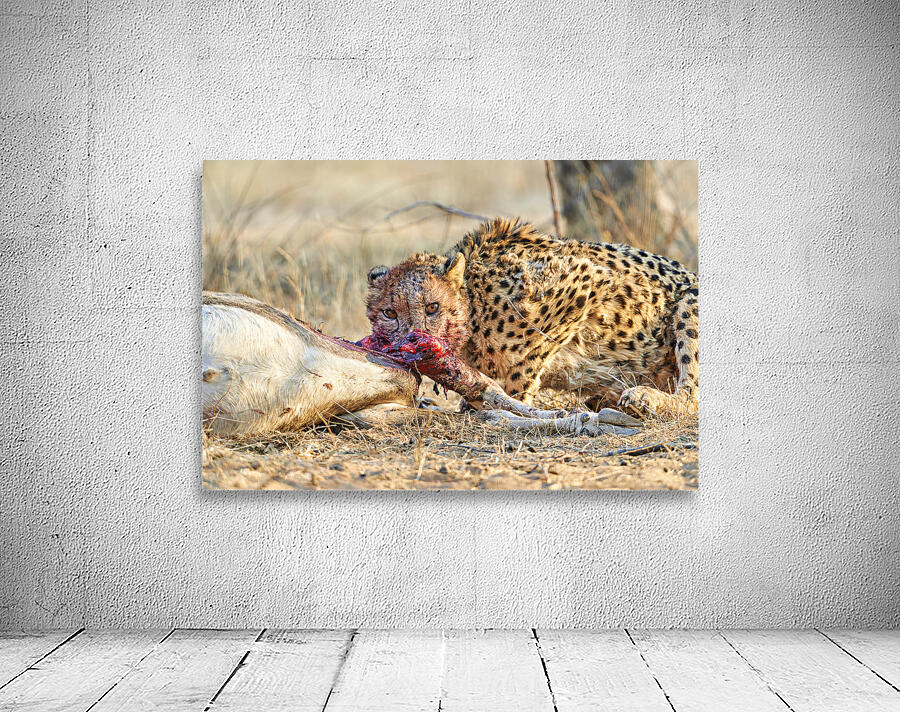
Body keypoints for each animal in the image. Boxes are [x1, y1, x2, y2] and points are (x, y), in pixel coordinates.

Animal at [365, 217, 698, 417]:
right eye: (390, 313)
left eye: (432, 307)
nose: (415, 339)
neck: (475, 304)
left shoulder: (586, 280)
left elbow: (527, 361)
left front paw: (513, 403)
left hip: (689, 300)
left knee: (692, 395)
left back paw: (645, 399)